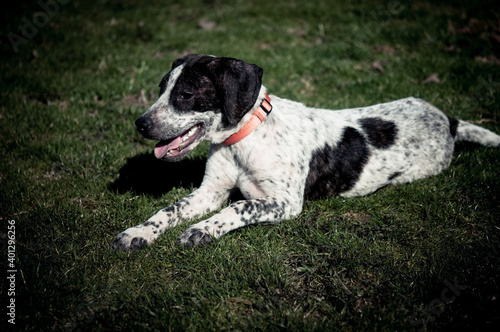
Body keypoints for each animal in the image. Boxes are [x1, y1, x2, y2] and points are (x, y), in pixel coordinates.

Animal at [111, 54, 498, 252]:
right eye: (161, 89)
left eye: (187, 94)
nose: (140, 124)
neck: (243, 140)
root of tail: (447, 119)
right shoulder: (210, 192)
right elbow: (168, 209)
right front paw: (137, 234)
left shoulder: (284, 202)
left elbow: (239, 206)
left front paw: (202, 230)